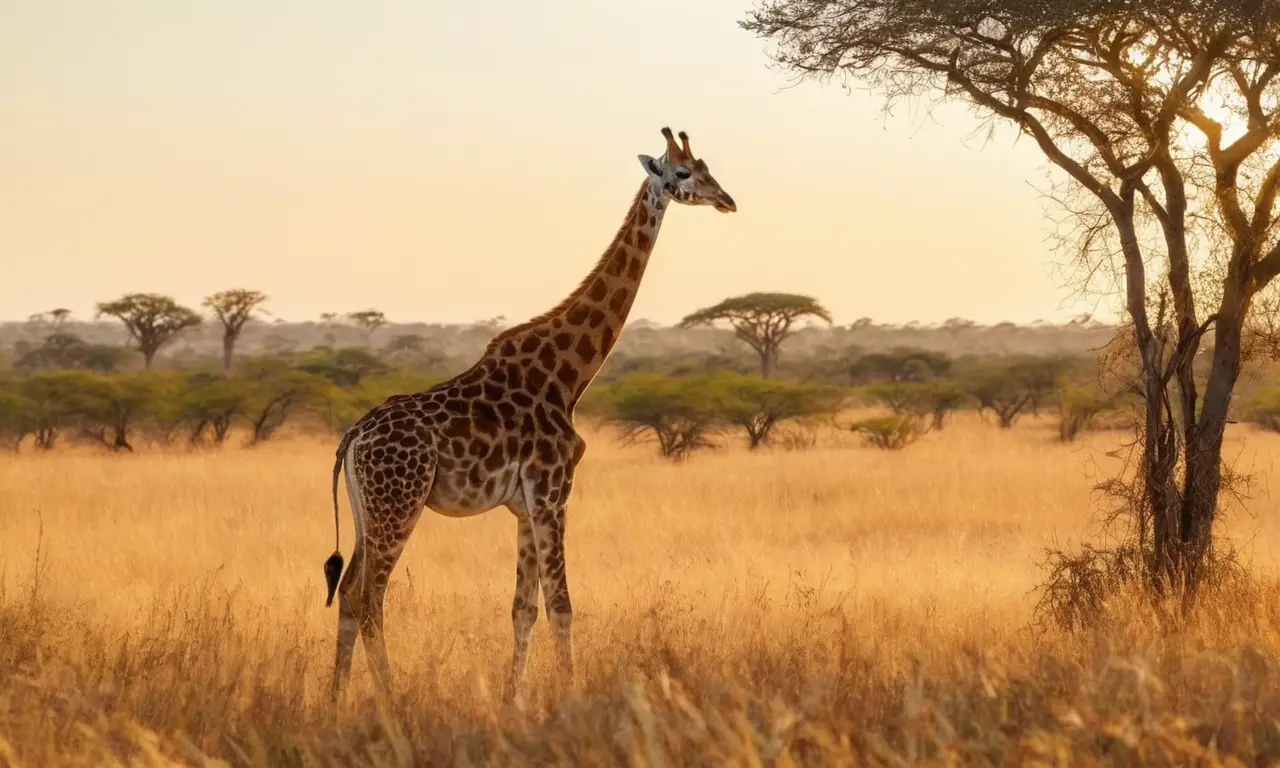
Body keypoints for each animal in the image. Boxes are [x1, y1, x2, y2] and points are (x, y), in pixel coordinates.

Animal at [322, 126, 736, 701]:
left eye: (707, 167)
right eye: (682, 173)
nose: (727, 200)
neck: (568, 375)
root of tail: (354, 437)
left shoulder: (522, 506)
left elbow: (522, 609)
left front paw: (512, 700)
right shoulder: (552, 492)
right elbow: (561, 605)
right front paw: (569, 696)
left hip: (368, 512)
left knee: (345, 594)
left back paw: (335, 701)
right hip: (398, 506)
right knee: (369, 598)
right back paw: (391, 700)